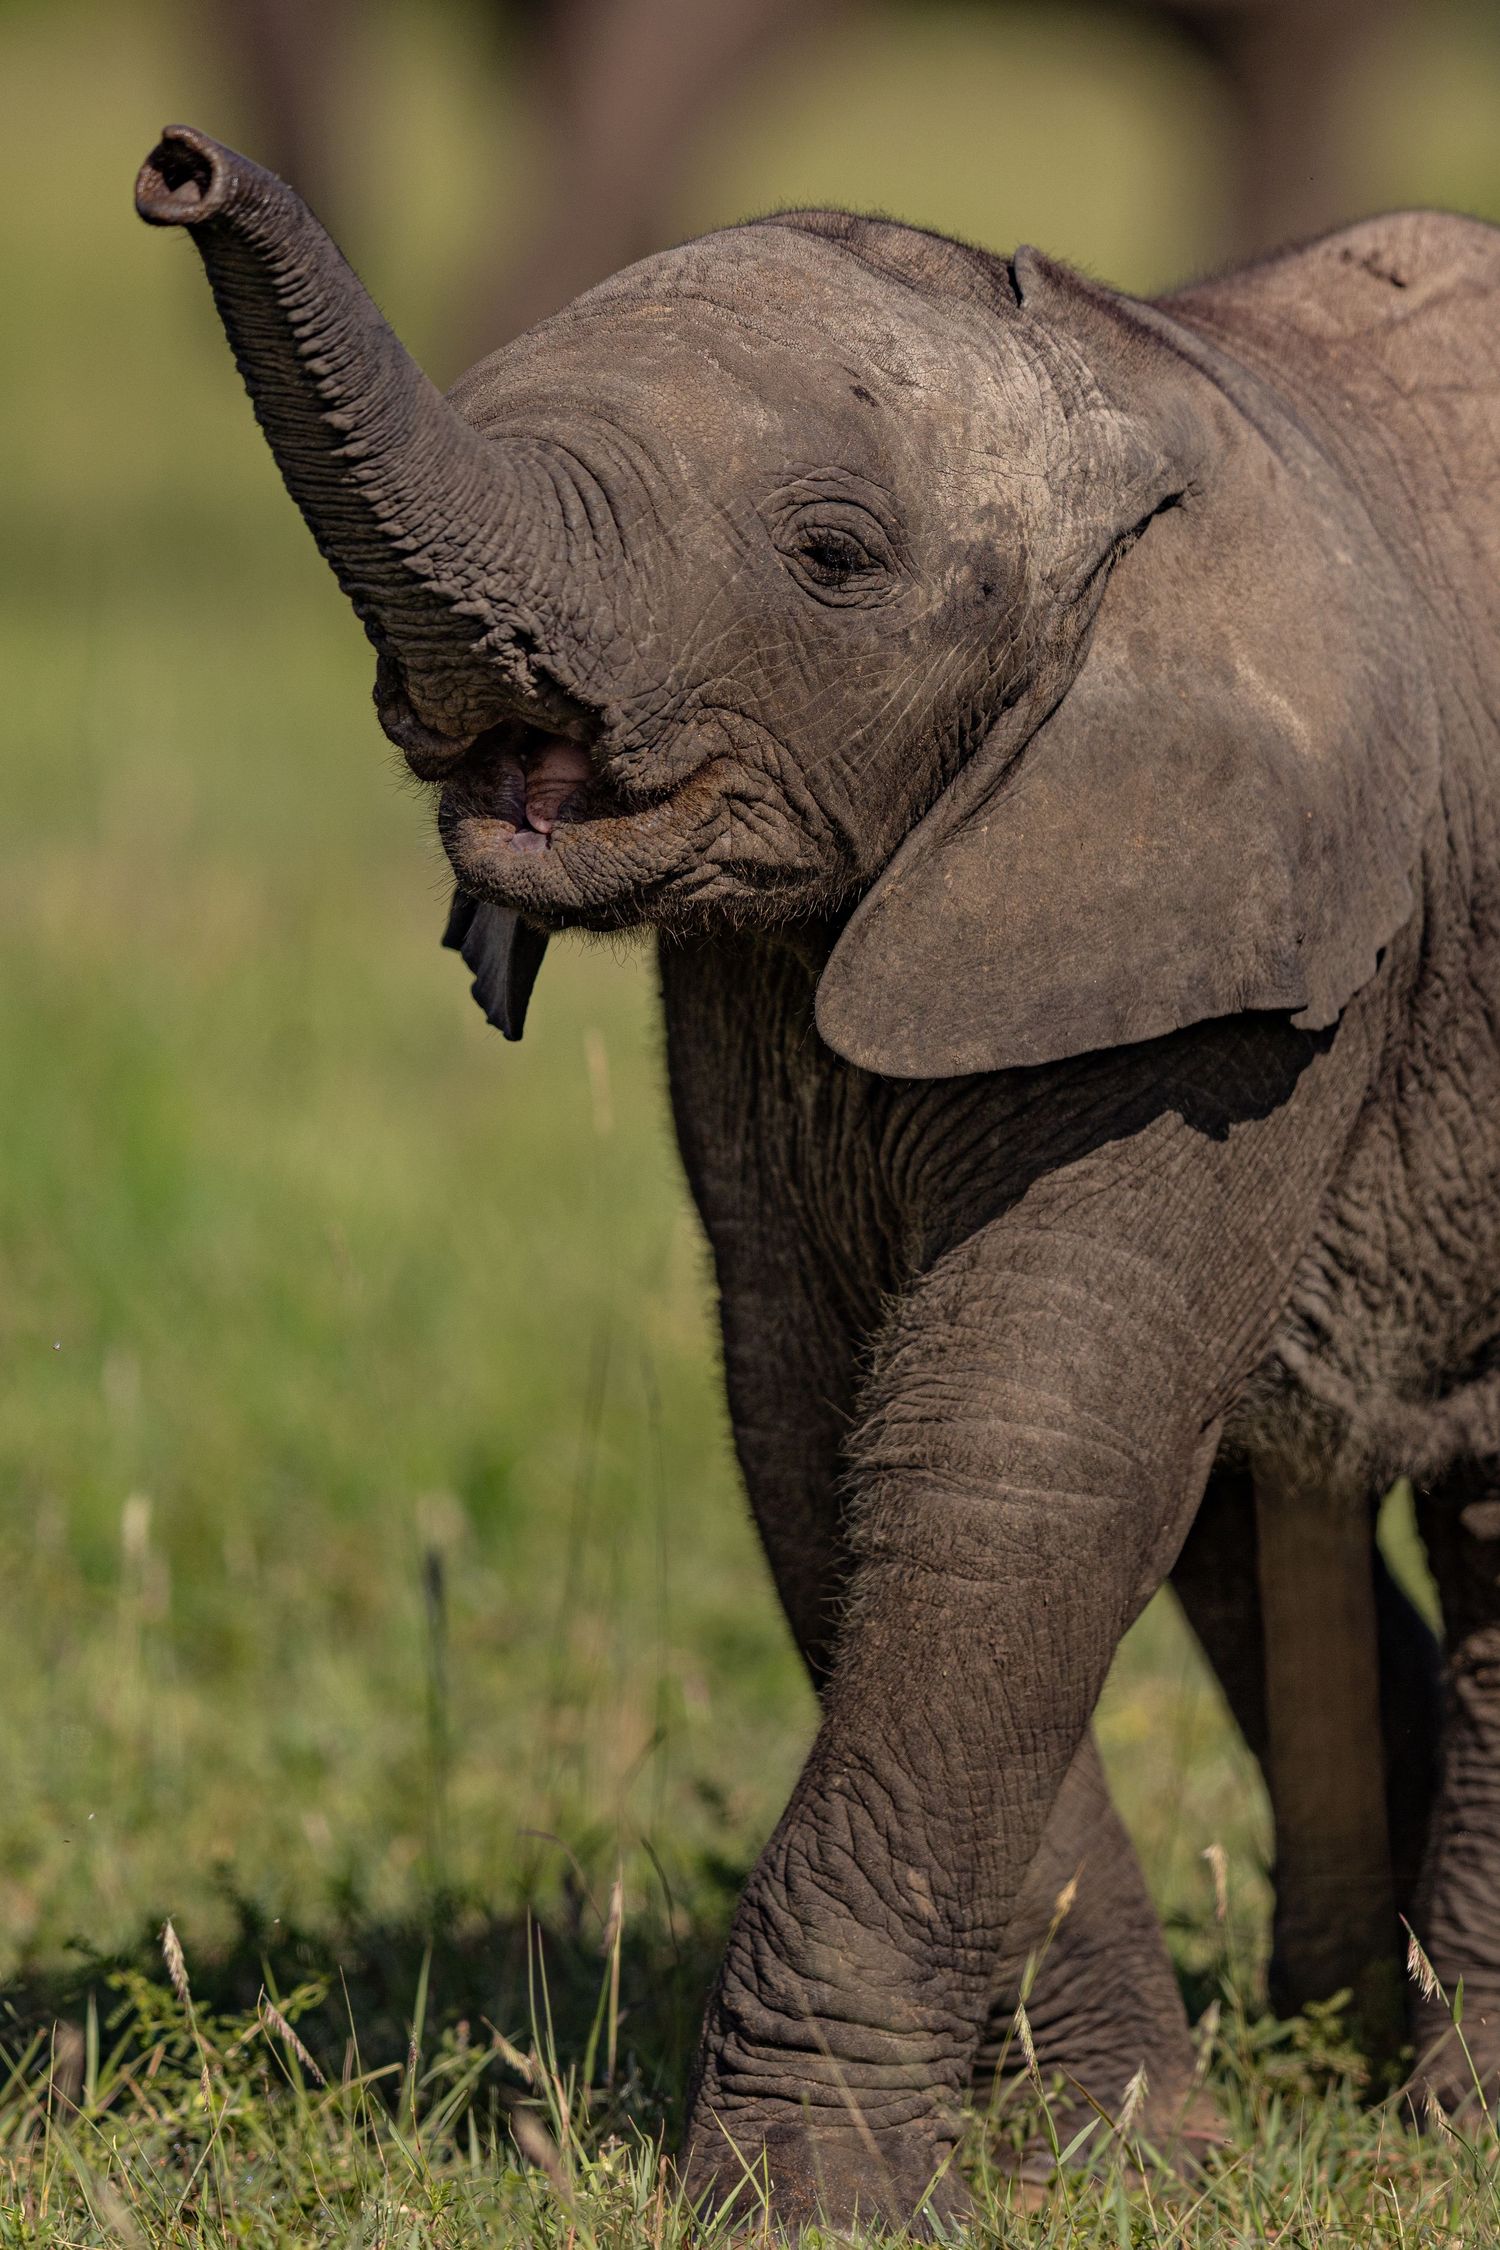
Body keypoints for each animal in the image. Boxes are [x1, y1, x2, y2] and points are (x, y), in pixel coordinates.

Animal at [136, 124, 1500, 2231]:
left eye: (834, 559)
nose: (182, 169)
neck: (1122, 374)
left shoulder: (1248, 945)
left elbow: (1016, 1461)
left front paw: (809, 2202)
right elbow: (828, 1441)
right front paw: (1111, 2164)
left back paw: (1450, 2117)